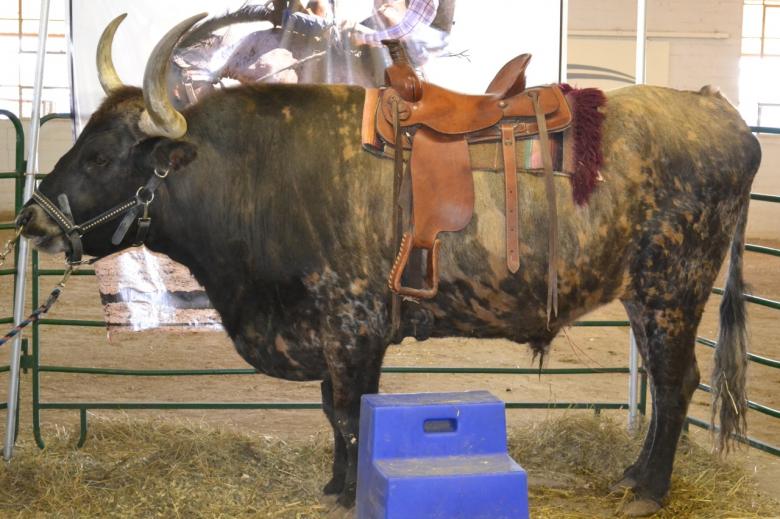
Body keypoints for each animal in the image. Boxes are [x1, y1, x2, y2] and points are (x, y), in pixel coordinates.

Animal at [18, 14, 760, 517]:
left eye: (100, 157)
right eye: (80, 140)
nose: (32, 220)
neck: (258, 174)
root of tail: (714, 109)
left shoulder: (351, 323)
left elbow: (346, 413)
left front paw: (346, 492)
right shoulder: (345, 332)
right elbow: (344, 413)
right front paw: (338, 483)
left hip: (673, 289)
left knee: (677, 383)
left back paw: (651, 489)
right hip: (645, 296)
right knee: (666, 387)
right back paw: (633, 474)